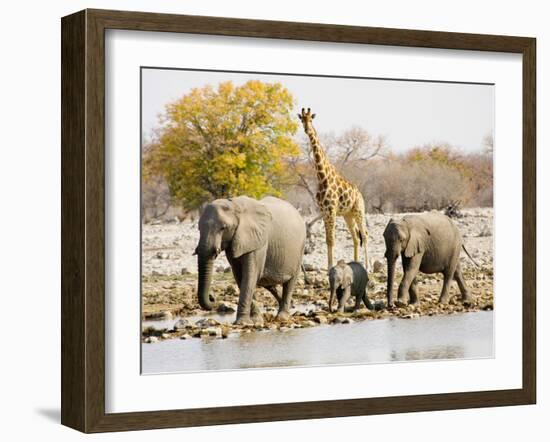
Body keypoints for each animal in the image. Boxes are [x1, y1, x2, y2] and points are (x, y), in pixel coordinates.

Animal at [195, 196, 308, 324]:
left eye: (223, 228)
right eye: (198, 228)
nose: (212, 297)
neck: (234, 205)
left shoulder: (257, 241)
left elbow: (249, 276)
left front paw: (242, 323)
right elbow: (240, 276)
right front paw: (255, 320)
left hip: (300, 249)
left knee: (289, 283)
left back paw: (282, 317)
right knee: (267, 282)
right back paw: (290, 305)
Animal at [298, 109, 370, 272]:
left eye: (311, 119)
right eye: (302, 120)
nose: (307, 130)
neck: (322, 177)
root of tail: (361, 195)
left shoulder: (331, 211)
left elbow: (332, 240)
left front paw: (330, 267)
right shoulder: (325, 212)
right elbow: (327, 240)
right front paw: (328, 266)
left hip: (359, 211)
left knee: (364, 234)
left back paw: (368, 266)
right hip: (348, 215)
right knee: (355, 237)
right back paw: (356, 263)